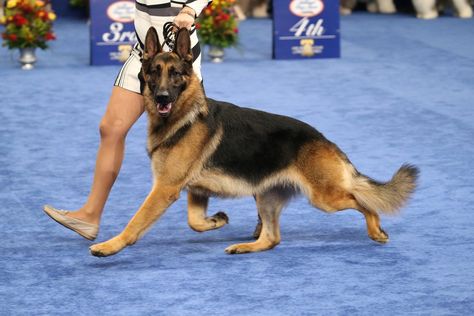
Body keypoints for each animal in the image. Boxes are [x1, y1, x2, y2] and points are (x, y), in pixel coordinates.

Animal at [89, 28, 418, 256]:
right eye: (154, 73)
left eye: (176, 74)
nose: (162, 98)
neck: (185, 116)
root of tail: (324, 140)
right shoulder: (195, 190)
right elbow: (195, 221)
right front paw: (217, 221)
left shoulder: (164, 189)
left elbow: (136, 221)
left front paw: (111, 245)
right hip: (267, 198)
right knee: (272, 239)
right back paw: (246, 246)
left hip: (325, 198)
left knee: (362, 202)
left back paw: (376, 230)